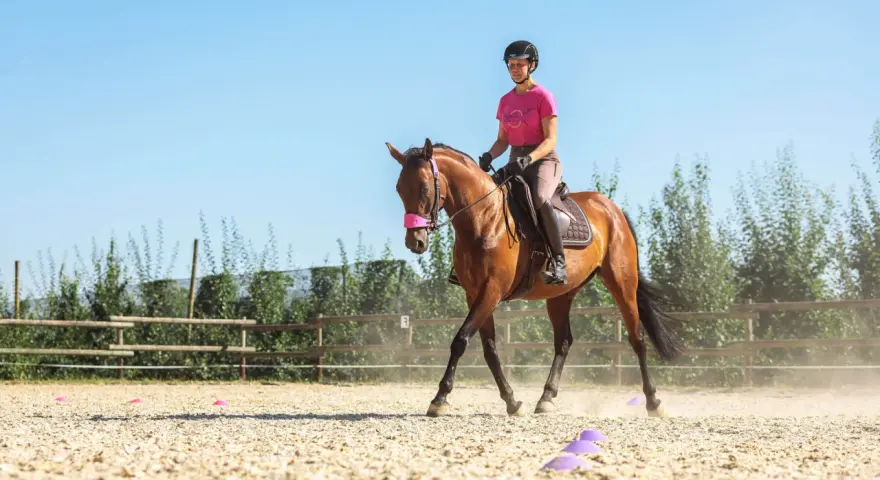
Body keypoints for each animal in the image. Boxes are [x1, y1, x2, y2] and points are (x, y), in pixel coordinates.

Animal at [386, 138, 684, 417]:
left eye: (425, 188)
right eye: (399, 189)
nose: (415, 242)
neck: (484, 218)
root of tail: (613, 209)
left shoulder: (491, 290)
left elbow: (460, 340)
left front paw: (439, 399)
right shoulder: (475, 294)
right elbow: (489, 349)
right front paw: (511, 401)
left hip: (622, 283)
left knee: (637, 338)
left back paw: (653, 402)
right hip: (561, 295)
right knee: (563, 342)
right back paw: (546, 398)